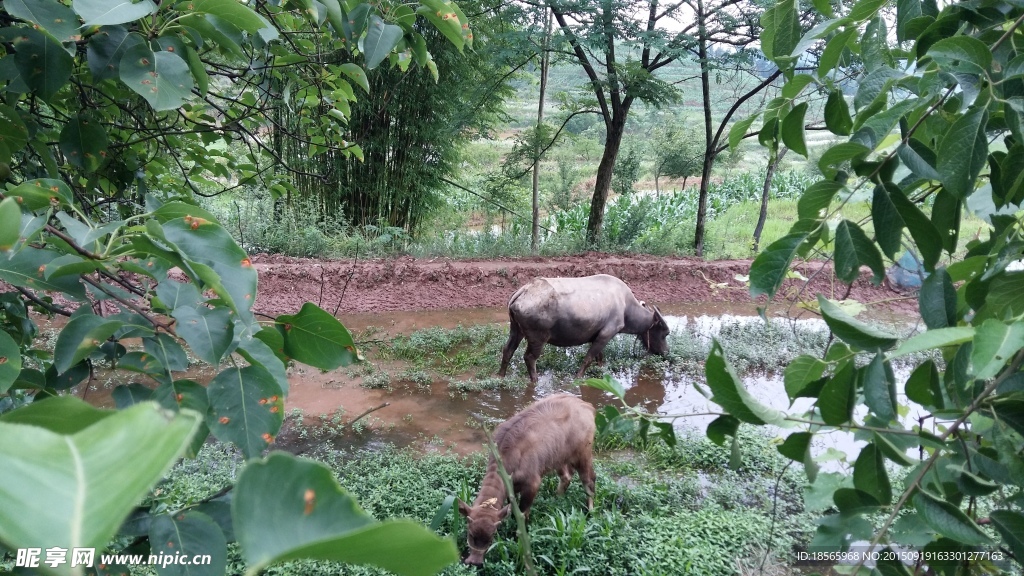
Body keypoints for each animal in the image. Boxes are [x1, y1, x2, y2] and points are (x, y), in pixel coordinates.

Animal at [460, 391, 598, 561]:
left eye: (491, 537)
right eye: (471, 534)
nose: (474, 562)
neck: (509, 457)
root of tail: (587, 406)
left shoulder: (532, 484)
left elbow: (523, 512)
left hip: (583, 454)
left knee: (589, 480)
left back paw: (590, 511)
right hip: (559, 457)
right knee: (566, 476)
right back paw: (557, 497)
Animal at [497, 272, 671, 381]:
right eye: (664, 333)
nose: (665, 352)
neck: (626, 307)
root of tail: (523, 291)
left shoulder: (598, 335)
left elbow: (599, 357)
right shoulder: (607, 334)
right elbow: (588, 358)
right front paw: (578, 377)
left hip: (516, 330)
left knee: (508, 350)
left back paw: (499, 375)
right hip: (538, 337)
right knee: (529, 358)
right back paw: (535, 380)